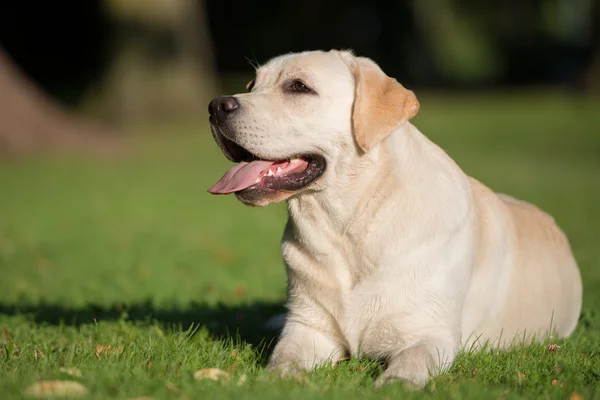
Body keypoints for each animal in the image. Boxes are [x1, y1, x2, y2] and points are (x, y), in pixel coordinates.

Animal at [206, 49, 580, 388]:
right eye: (252, 84)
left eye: (298, 87)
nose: (215, 106)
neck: (345, 228)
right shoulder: (308, 328)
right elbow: (284, 358)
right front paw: (277, 381)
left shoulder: (430, 334)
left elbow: (409, 365)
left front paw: (392, 384)